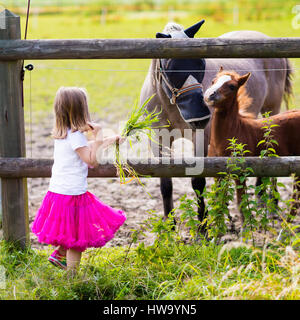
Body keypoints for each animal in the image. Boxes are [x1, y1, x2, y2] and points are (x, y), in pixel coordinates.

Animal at [205, 68, 298, 225]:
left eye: (232, 86)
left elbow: (240, 201)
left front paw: (245, 227)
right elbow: (218, 202)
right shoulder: (217, 173)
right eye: (213, 81)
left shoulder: (240, 172)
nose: (210, 95)